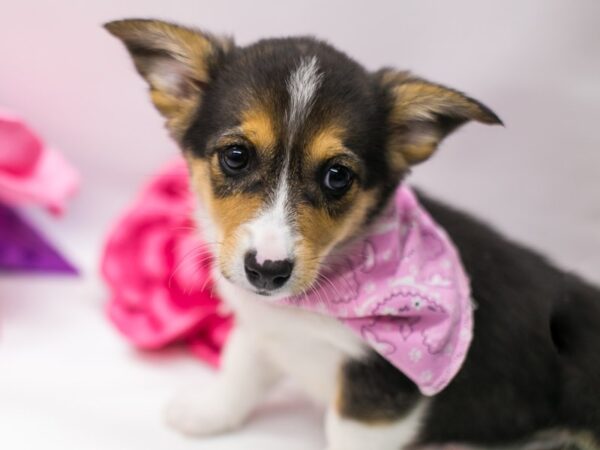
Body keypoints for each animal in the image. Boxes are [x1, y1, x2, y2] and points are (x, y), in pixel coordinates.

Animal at [106, 18, 600, 450]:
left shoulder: (377, 393)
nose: (267, 272)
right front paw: (207, 412)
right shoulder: (264, 328)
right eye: (236, 156)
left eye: (337, 176)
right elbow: (241, 367)